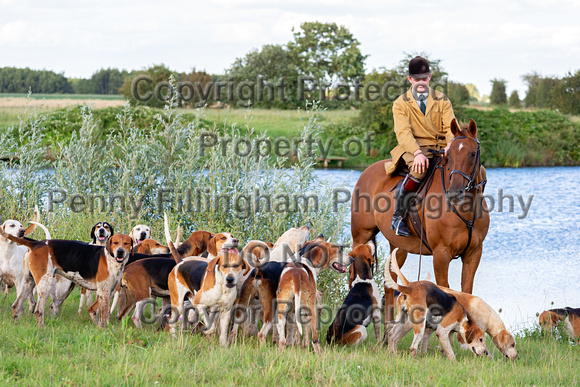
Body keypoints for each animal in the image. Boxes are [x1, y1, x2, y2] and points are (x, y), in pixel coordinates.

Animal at [352, 118, 488, 336]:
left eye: (473, 153)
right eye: (449, 155)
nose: (455, 193)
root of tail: (367, 171)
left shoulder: (474, 253)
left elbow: (467, 291)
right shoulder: (441, 255)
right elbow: (445, 289)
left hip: (398, 248)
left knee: (389, 284)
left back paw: (388, 332)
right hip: (360, 237)